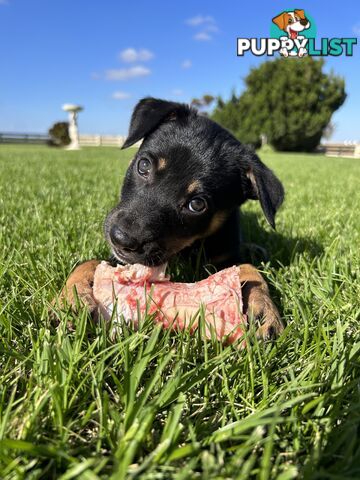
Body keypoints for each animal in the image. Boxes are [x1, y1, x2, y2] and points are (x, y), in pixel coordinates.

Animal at [57, 96, 286, 338]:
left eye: (197, 204)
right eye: (144, 165)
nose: (121, 239)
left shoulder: (228, 255)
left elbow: (250, 270)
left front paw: (265, 310)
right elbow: (87, 262)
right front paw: (72, 299)